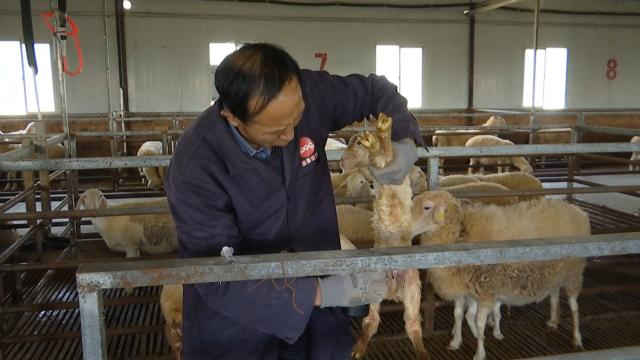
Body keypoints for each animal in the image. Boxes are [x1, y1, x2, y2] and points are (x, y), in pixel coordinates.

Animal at [350, 113, 430, 360]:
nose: (363, 137)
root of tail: (393, 290)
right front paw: (376, 137)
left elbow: (385, 152)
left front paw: (381, 132)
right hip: (373, 285)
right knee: (371, 320)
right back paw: (358, 349)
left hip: (413, 285)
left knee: (413, 324)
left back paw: (423, 353)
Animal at [412, 190, 588, 358]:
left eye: (426, 207)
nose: (408, 229)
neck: (461, 233)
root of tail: (577, 211)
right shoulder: (463, 290)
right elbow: (458, 315)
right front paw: (455, 342)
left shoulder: (485, 292)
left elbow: (479, 321)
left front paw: (480, 351)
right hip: (555, 274)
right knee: (554, 295)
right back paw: (553, 321)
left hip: (573, 275)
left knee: (574, 307)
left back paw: (577, 338)